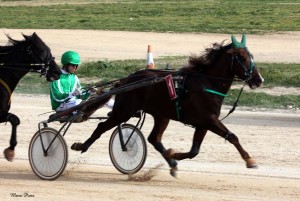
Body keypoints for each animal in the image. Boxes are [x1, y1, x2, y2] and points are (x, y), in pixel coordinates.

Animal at [0, 33, 61, 162]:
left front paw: (10, 150)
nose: (57, 72)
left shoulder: (3, 113)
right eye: (41, 50)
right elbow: (14, 119)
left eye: (49, 49)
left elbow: (15, 119)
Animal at [71, 35, 264, 177]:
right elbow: (232, 137)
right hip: (124, 110)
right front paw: (250, 160)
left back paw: (171, 162)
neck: (207, 83)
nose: (258, 80)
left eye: (252, 56)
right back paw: (81, 146)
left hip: (161, 114)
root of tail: (126, 80)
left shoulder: (203, 123)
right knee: (101, 126)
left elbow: (194, 151)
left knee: (154, 138)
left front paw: (173, 155)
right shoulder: (209, 119)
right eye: (243, 58)